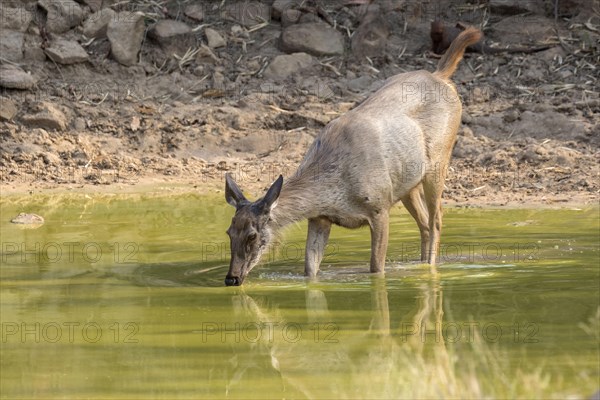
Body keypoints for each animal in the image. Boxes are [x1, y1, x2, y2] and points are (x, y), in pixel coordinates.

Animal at [223, 26, 480, 286]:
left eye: (252, 235)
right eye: (229, 232)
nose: (231, 278)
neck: (336, 189)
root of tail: (441, 76)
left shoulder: (379, 207)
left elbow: (376, 269)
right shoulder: (320, 217)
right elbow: (310, 270)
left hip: (439, 160)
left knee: (436, 219)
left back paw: (430, 268)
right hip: (406, 183)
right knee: (424, 223)